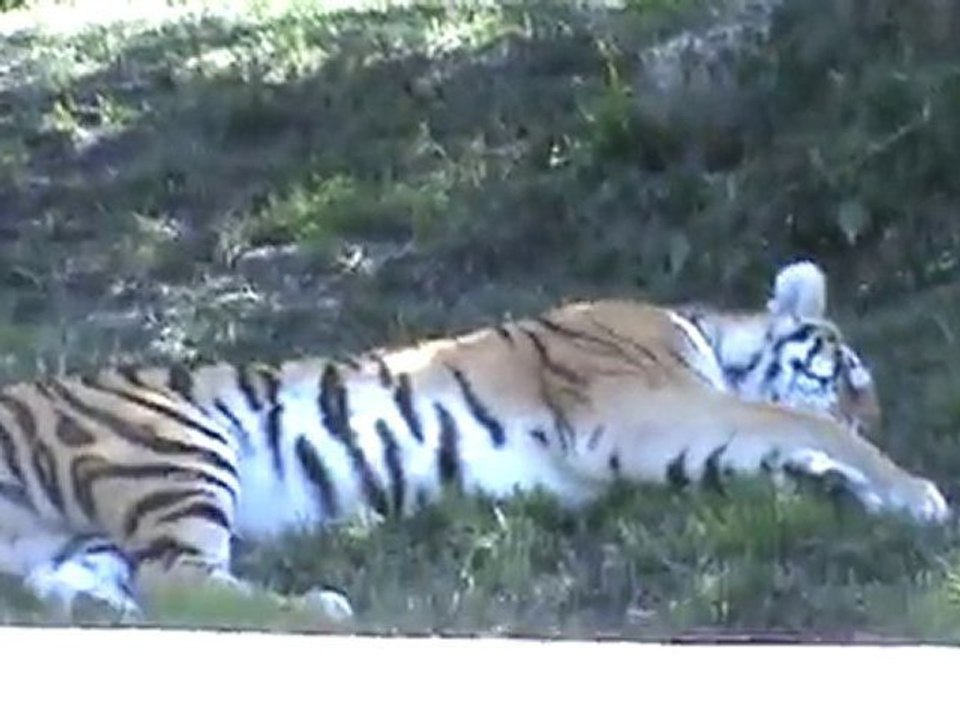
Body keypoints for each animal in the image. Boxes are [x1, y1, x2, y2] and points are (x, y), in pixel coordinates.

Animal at [0, 260, 948, 624]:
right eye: (852, 380)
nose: (874, 416)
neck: (708, 332)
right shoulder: (645, 406)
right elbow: (794, 421)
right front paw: (915, 492)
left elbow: (780, 450)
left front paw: (845, 487)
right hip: (174, 444)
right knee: (178, 581)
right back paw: (319, 611)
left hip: (78, 532)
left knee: (94, 584)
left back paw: (98, 612)